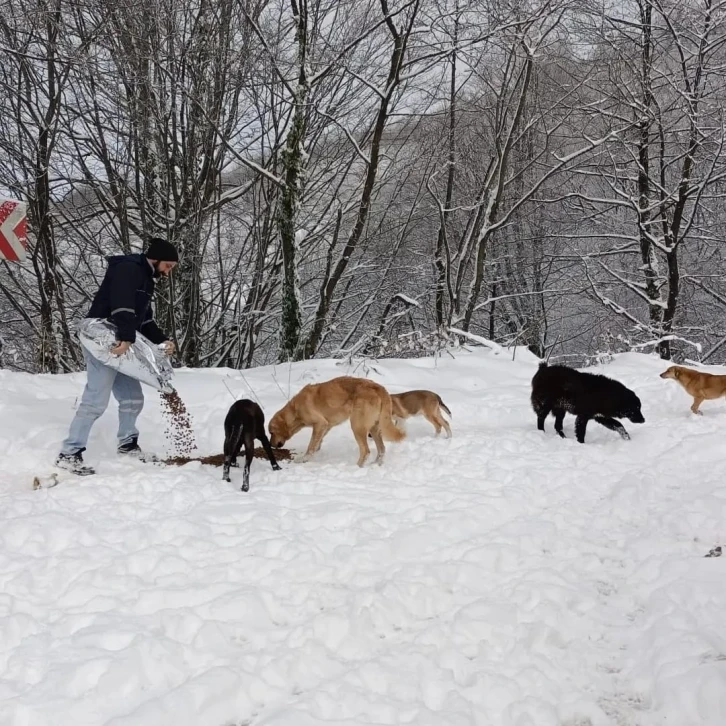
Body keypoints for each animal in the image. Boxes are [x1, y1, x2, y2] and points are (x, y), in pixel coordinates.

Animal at [268, 378, 406, 470]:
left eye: (271, 432)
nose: (270, 444)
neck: (294, 410)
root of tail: (378, 387)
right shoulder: (326, 426)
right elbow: (317, 444)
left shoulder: (320, 423)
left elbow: (311, 446)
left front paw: (304, 459)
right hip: (374, 428)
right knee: (382, 449)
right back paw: (376, 465)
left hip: (357, 426)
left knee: (366, 451)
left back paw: (356, 467)